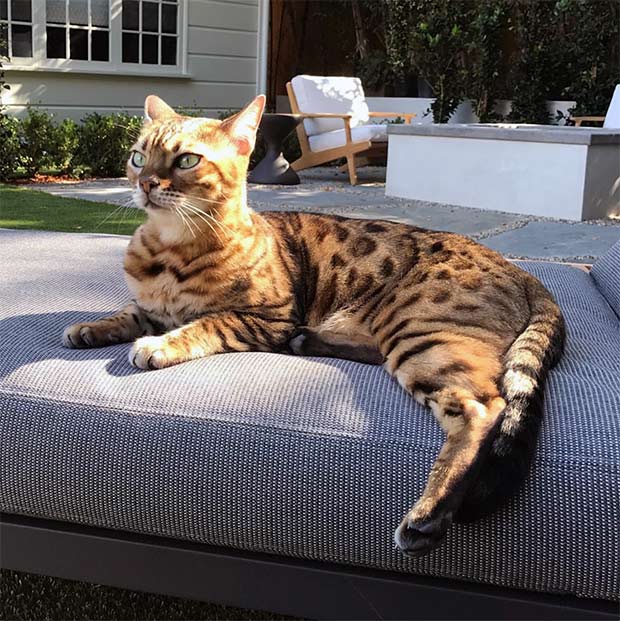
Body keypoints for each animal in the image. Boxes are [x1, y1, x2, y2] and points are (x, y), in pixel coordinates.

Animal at [61, 95, 560, 556]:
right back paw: (310, 341)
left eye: (187, 160)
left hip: (418, 331)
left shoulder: (268, 317)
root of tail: (520, 270)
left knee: (483, 407)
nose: (145, 182)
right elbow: (129, 312)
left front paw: (159, 345)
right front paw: (91, 327)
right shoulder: (151, 306)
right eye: (138, 157)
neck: (168, 250)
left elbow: (206, 323)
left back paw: (429, 515)